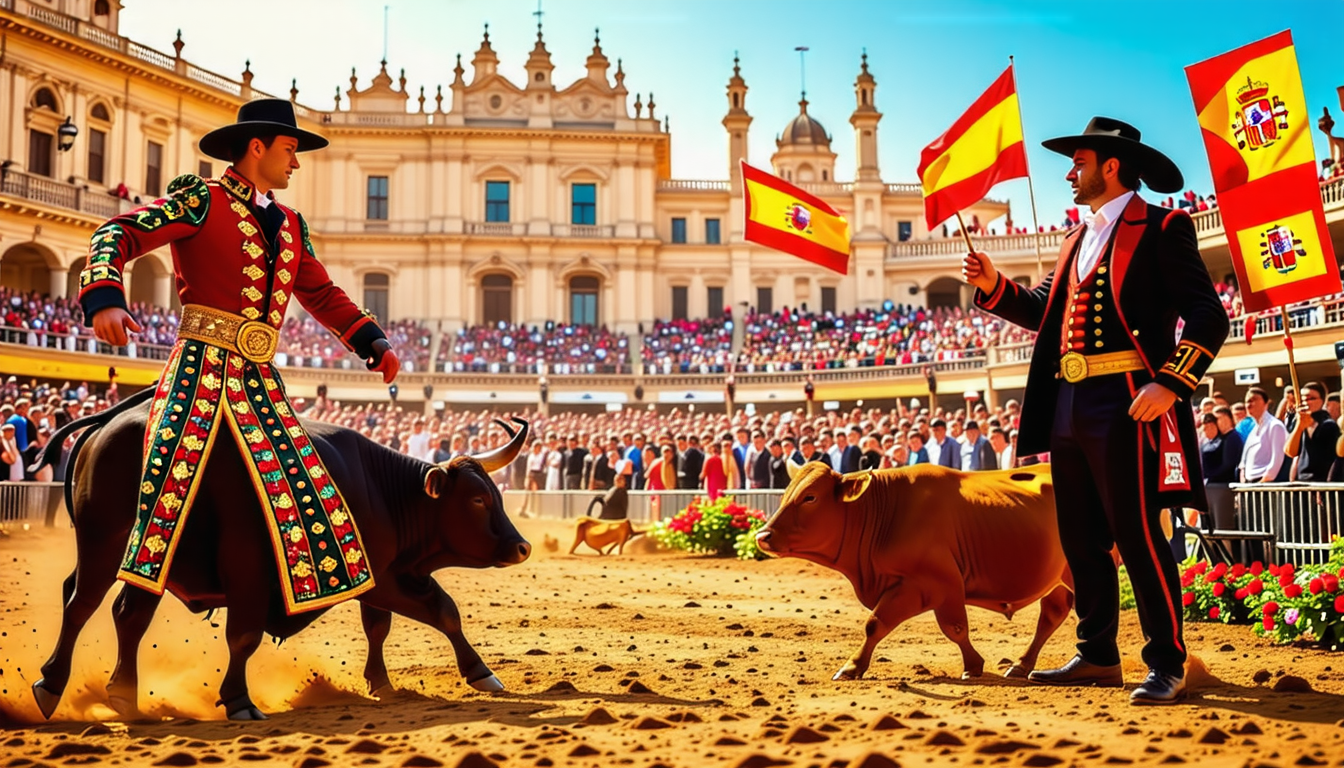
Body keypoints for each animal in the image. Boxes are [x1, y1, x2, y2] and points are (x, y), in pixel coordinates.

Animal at [26, 390, 529, 720]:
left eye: (495, 494)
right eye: (477, 500)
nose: (521, 546)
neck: (380, 490)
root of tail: (107, 423)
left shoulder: (383, 574)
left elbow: (421, 616)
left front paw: (396, 680)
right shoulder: (249, 566)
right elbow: (244, 635)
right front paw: (238, 699)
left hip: (148, 561)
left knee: (127, 615)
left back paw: (125, 695)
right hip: (104, 543)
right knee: (83, 604)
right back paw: (51, 684)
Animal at [758, 459, 1069, 683]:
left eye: (810, 497)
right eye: (786, 494)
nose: (763, 535)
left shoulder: (937, 584)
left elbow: (951, 628)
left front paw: (972, 666)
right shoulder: (909, 587)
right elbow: (878, 624)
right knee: (1052, 615)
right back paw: (1022, 665)